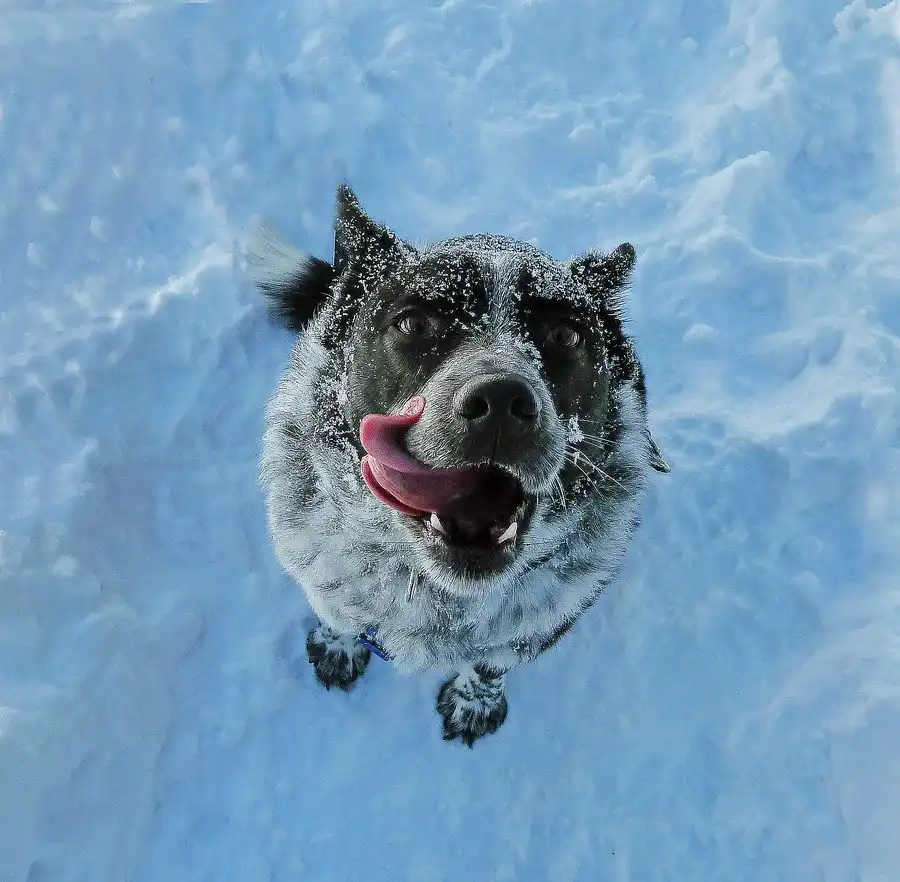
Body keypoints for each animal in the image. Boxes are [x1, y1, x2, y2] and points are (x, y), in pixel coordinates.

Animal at [249, 184, 669, 746]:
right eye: (415, 322)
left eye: (566, 335)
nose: (501, 401)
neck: (441, 592)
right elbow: (340, 613)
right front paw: (339, 645)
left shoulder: (541, 624)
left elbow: (493, 661)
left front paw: (475, 702)